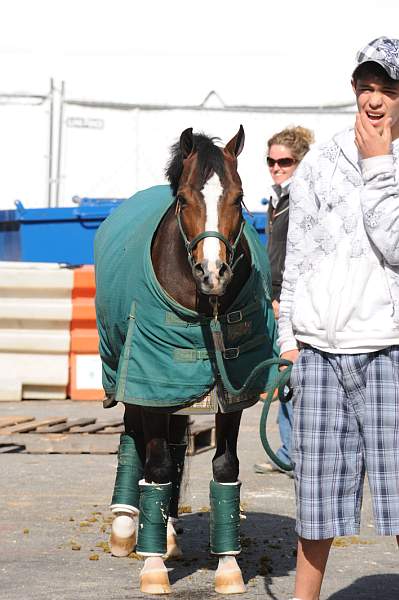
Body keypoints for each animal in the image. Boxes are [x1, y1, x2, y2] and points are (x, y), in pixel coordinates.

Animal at [94, 126, 284, 596]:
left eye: (238, 197)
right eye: (183, 199)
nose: (212, 272)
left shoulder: (230, 394)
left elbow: (224, 466)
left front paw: (228, 566)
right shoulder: (148, 379)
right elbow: (157, 463)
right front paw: (152, 567)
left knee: (175, 442)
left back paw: (166, 532)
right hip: (133, 378)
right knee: (137, 442)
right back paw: (128, 527)